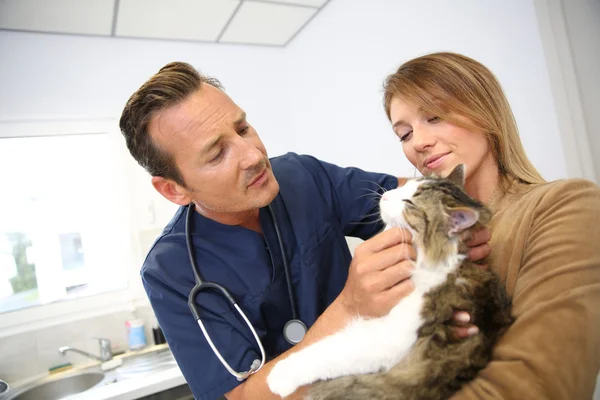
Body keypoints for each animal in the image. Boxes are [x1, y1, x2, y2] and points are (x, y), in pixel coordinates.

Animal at [270, 164, 512, 398]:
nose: (385, 195)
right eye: (407, 185)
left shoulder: (392, 335)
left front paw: (280, 376)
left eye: (409, 203)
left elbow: (331, 351)